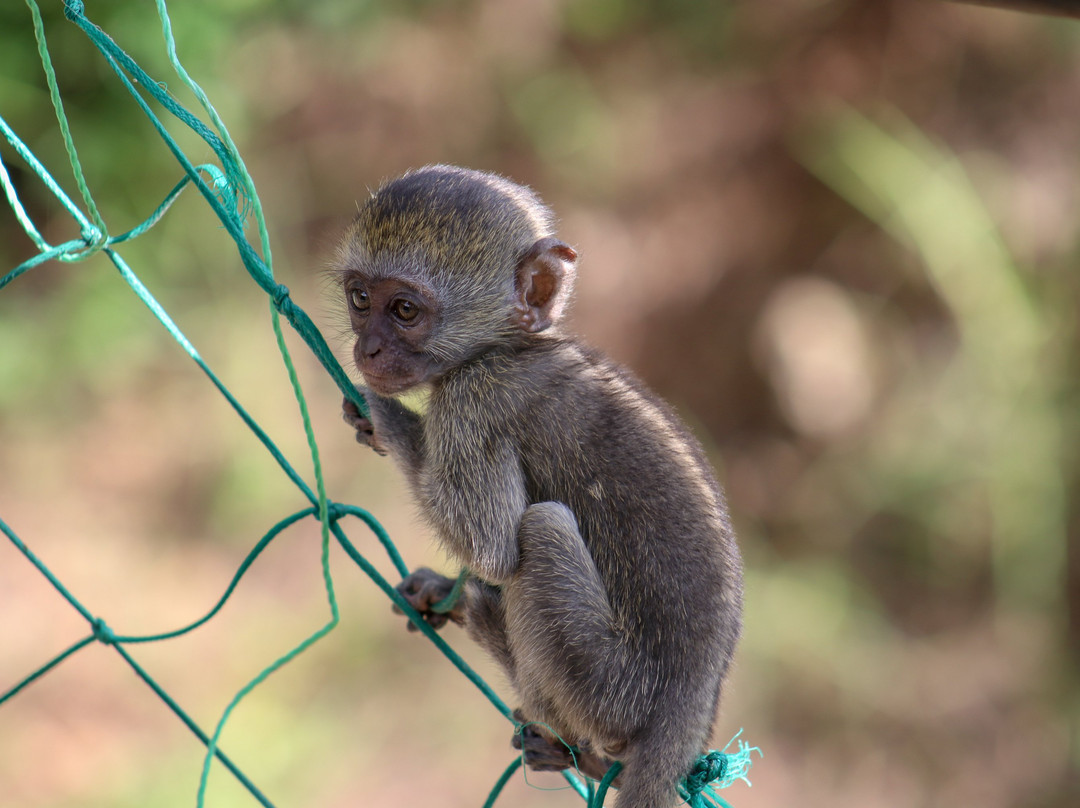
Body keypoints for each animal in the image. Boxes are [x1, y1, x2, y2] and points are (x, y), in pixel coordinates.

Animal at [336, 165, 743, 808]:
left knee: (542, 527)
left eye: (403, 309)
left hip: (606, 686)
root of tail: (691, 704)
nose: (366, 350)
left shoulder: (472, 404)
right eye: (359, 299)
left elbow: (493, 548)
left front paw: (387, 417)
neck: (507, 347)